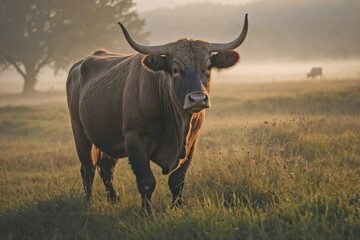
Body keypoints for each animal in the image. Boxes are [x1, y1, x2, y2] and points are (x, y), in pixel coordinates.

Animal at [66, 14, 249, 211]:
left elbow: (177, 180)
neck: (178, 127)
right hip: (80, 132)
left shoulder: (191, 143)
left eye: (208, 67)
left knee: (106, 168)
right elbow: (146, 182)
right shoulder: (135, 141)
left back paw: (114, 199)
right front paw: (147, 211)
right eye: (175, 69)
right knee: (88, 168)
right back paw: (88, 202)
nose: (198, 99)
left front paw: (177, 207)